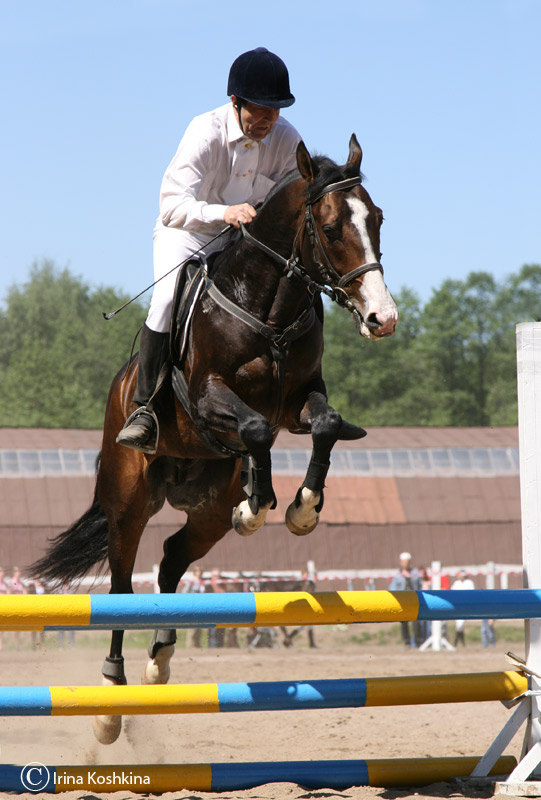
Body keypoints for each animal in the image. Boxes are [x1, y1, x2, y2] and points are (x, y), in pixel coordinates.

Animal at [30, 136, 396, 744]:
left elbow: (323, 425)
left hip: (204, 509)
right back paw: (109, 702)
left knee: (172, 559)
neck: (268, 306)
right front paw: (261, 504)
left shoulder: (299, 403)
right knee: (122, 590)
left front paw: (299, 510)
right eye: (328, 227)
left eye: (378, 218)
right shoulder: (209, 399)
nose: (381, 318)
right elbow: (253, 429)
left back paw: (160, 659)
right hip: (128, 501)